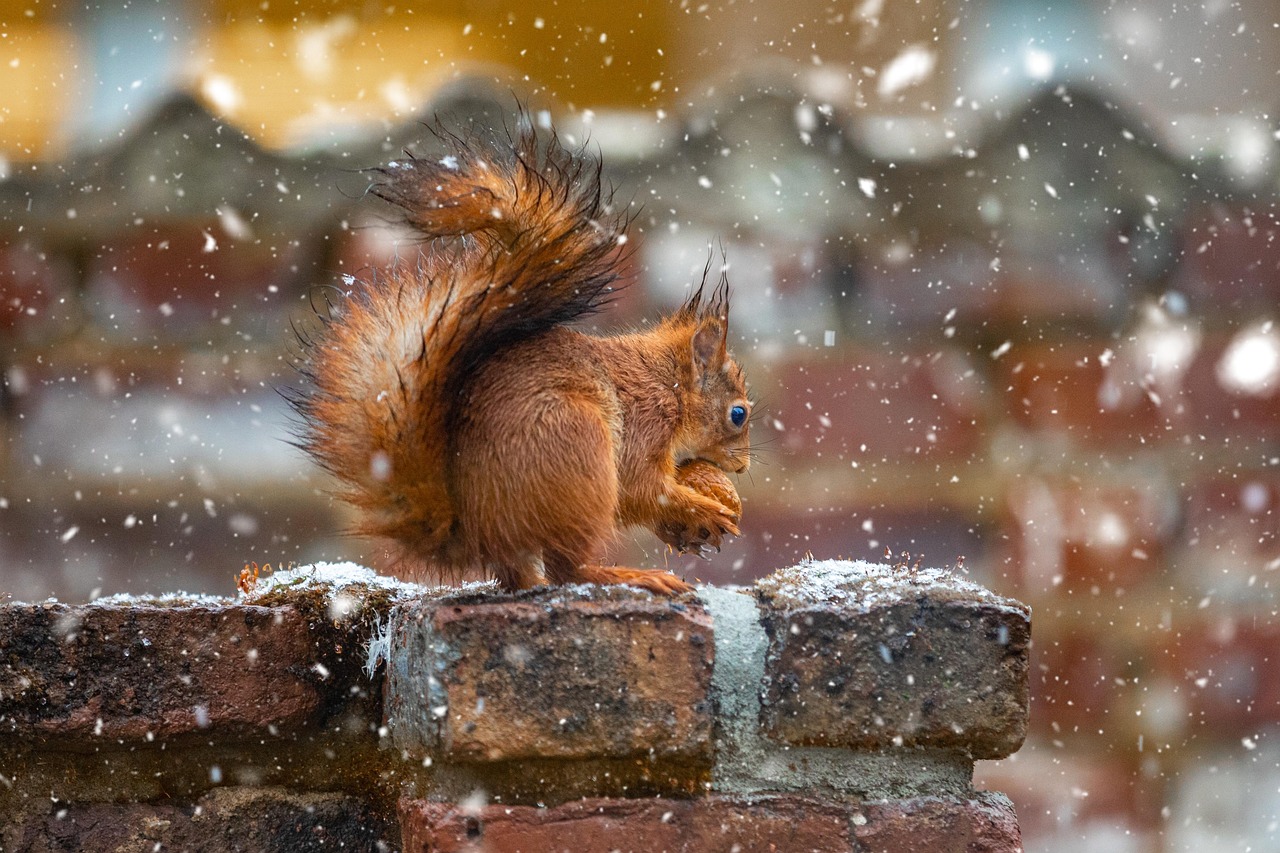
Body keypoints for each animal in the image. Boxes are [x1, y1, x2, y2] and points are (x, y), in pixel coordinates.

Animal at [289, 120, 751, 595]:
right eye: (738, 414)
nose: (743, 466)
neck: (669, 383)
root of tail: (480, 534)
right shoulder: (647, 421)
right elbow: (640, 488)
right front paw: (702, 510)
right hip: (578, 446)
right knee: (569, 568)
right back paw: (630, 575)